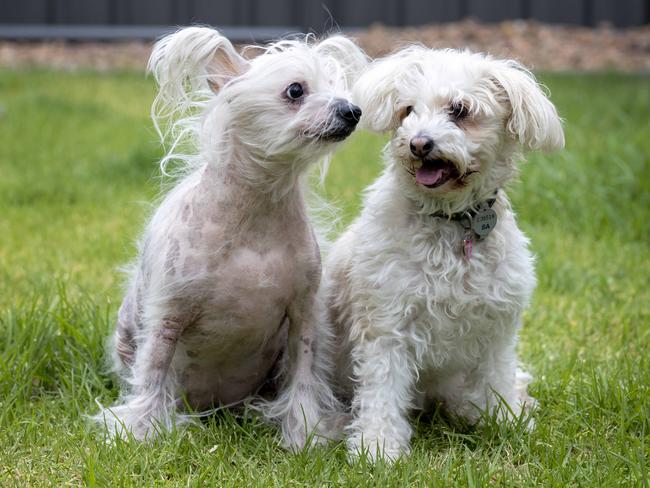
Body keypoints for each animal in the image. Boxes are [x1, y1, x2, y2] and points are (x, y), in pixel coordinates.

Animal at [92, 24, 368, 448]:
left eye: (340, 88)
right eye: (295, 90)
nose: (351, 111)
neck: (256, 218)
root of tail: (215, 406)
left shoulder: (303, 314)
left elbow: (304, 378)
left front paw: (303, 435)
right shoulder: (167, 313)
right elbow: (152, 372)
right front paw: (140, 432)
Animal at [322, 46, 564, 462]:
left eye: (460, 110)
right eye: (407, 111)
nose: (419, 144)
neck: (452, 222)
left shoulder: (496, 331)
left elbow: (496, 380)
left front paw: (505, 423)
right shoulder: (388, 327)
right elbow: (383, 392)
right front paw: (378, 447)